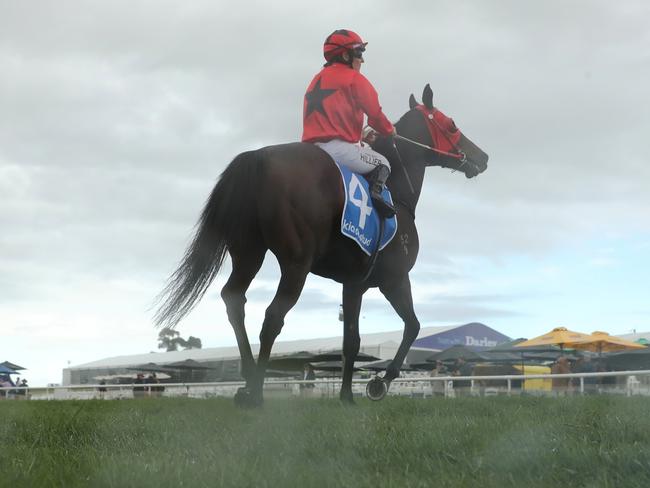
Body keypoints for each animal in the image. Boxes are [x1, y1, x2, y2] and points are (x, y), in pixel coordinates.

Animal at [153, 84, 486, 404]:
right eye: (452, 124)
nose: (482, 157)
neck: (397, 193)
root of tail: (258, 157)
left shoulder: (354, 284)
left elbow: (351, 341)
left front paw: (347, 396)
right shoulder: (394, 279)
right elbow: (412, 326)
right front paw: (380, 382)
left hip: (249, 254)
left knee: (234, 300)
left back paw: (247, 380)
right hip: (296, 263)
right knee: (272, 317)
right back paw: (257, 392)